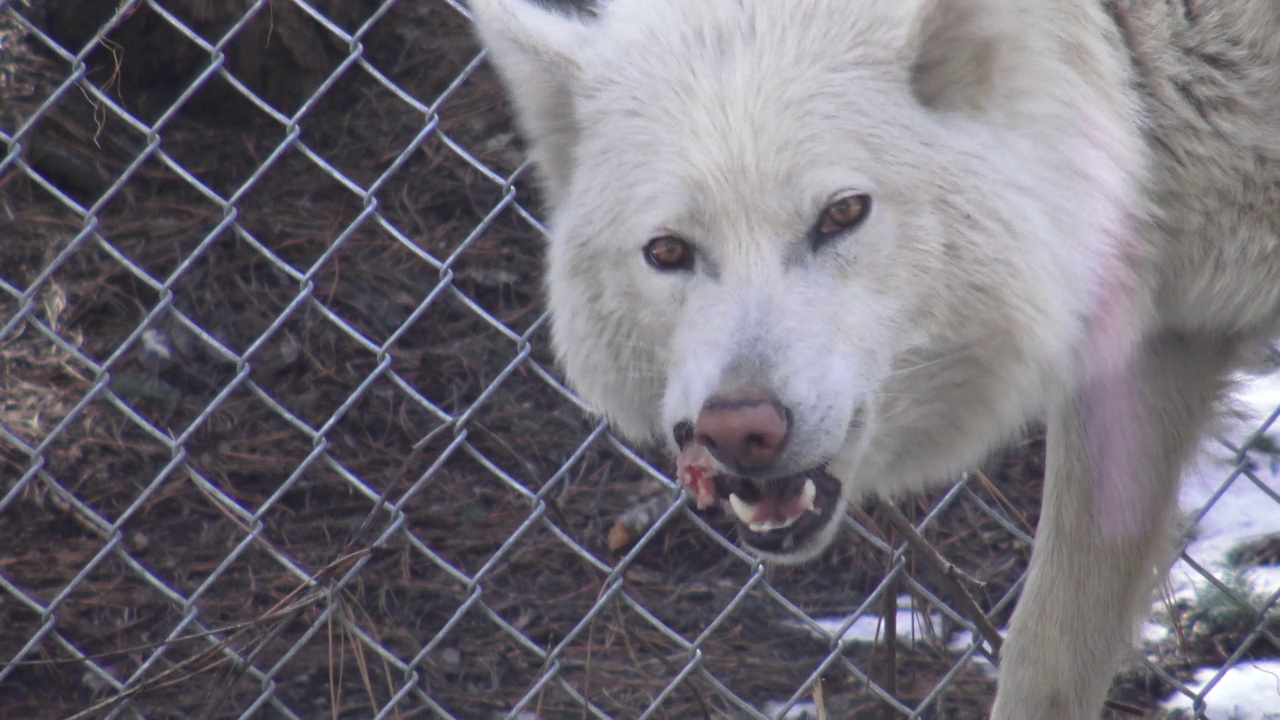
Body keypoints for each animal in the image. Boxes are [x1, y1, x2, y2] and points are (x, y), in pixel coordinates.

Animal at [471, 2, 1280, 712]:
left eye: (842, 214)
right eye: (668, 251)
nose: (738, 429)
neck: (1145, 62)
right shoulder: (1146, 360)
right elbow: (1044, 654)